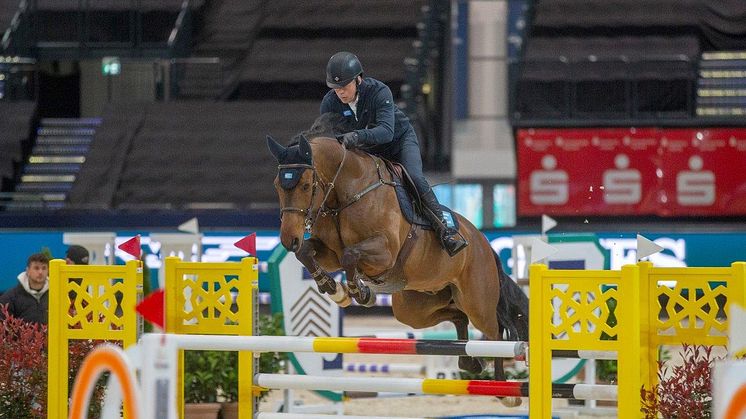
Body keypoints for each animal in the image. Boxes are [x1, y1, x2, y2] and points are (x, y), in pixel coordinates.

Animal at [264, 114, 528, 390]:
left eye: (306, 185)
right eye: (277, 185)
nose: (288, 239)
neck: (346, 193)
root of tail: (484, 244)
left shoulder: (384, 252)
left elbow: (350, 255)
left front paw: (359, 292)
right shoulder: (330, 253)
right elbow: (307, 253)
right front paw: (333, 289)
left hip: (477, 301)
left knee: (495, 332)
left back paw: (503, 387)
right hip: (416, 308)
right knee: (458, 317)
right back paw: (471, 364)